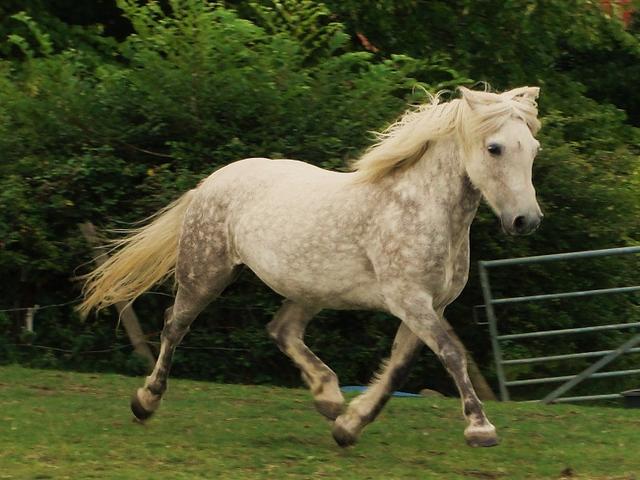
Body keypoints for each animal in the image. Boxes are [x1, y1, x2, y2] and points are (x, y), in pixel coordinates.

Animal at [79, 86, 543, 448]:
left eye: (533, 149)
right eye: (494, 148)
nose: (527, 221)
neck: (421, 208)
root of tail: (210, 183)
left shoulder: (429, 306)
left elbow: (398, 369)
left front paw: (349, 426)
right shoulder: (410, 300)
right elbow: (451, 353)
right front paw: (481, 429)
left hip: (309, 288)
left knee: (281, 330)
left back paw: (329, 398)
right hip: (206, 273)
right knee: (174, 324)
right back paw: (145, 402)